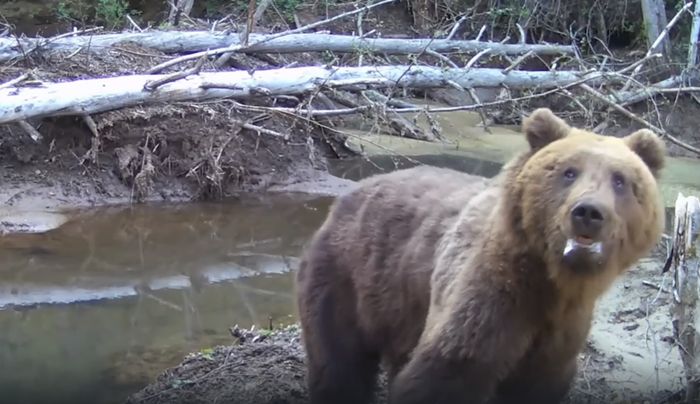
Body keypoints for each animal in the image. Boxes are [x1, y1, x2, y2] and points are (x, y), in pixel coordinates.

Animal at [295, 107, 666, 404]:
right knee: (339, 361)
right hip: (345, 276)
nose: (588, 211)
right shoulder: (491, 298)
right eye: (569, 171)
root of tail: (349, 195)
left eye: (620, 180)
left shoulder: (560, 335)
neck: (552, 281)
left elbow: (538, 384)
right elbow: (443, 373)